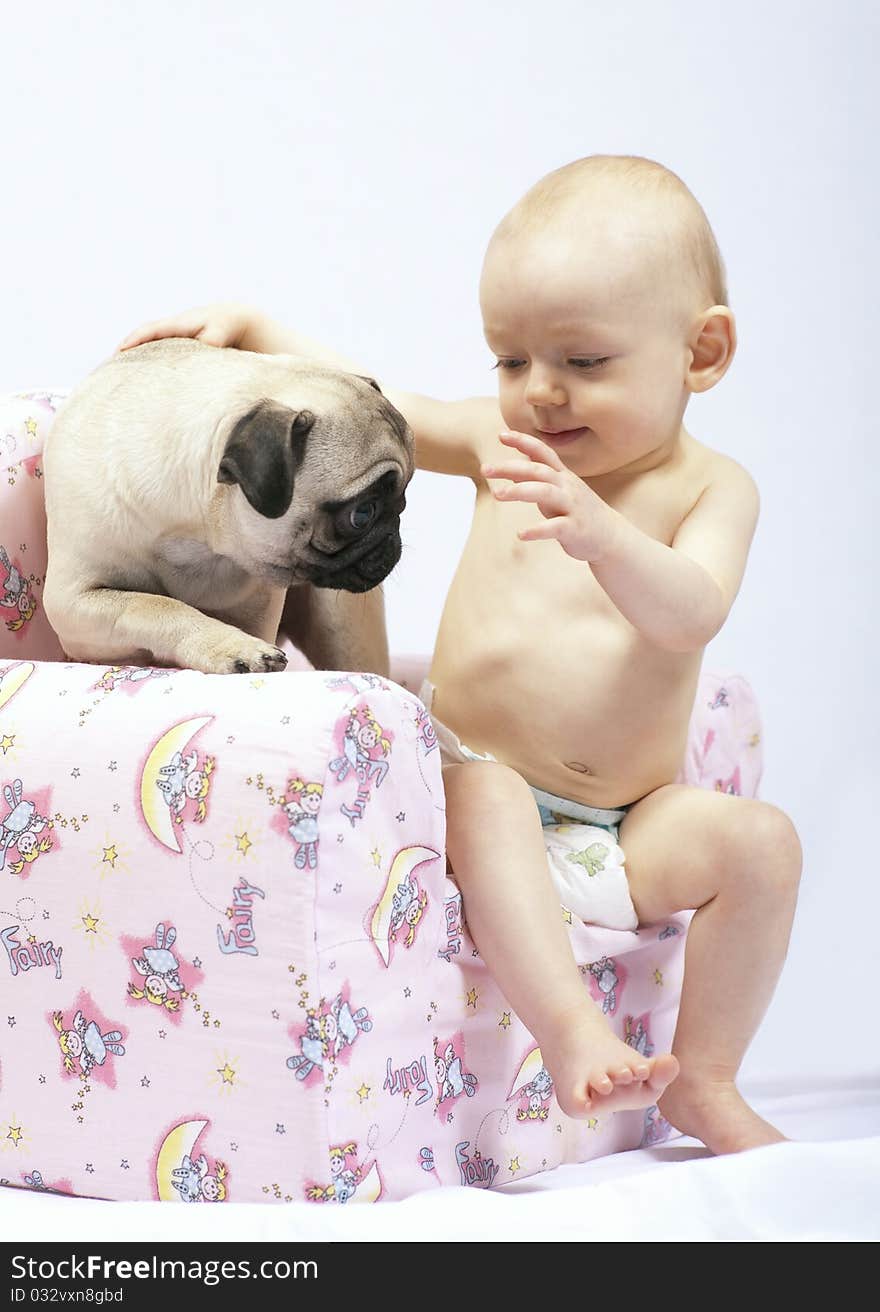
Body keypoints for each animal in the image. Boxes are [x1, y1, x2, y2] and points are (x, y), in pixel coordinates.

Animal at [45, 338, 419, 676]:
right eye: (362, 515)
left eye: (404, 495)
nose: (394, 534)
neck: (199, 539)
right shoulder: (72, 603)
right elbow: (154, 605)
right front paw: (232, 647)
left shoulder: (258, 603)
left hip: (343, 632)